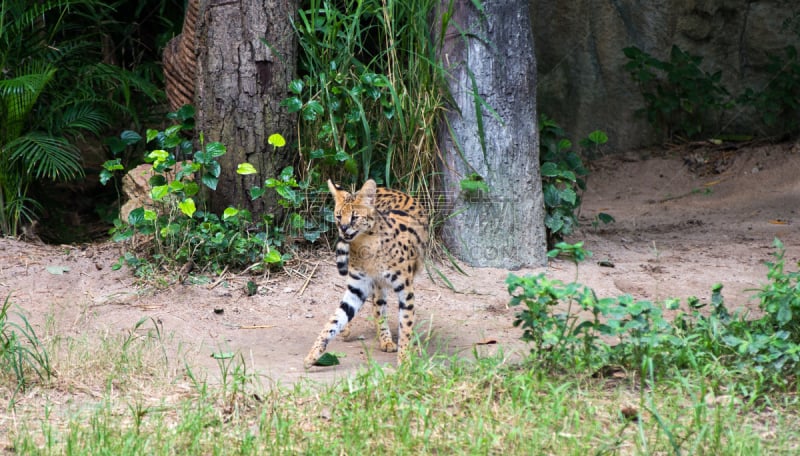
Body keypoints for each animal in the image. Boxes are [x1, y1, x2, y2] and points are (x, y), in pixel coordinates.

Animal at [304, 180, 428, 368]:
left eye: (354, 217)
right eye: (338, 216)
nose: (343, 229)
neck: (366, 245)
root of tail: (386, 188)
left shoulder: (405, 290)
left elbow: (405, 325)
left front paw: (405, 359)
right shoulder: (357, 287)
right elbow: (335, 320)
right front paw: (314, 353)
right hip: (377, 285)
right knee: (377, 306)